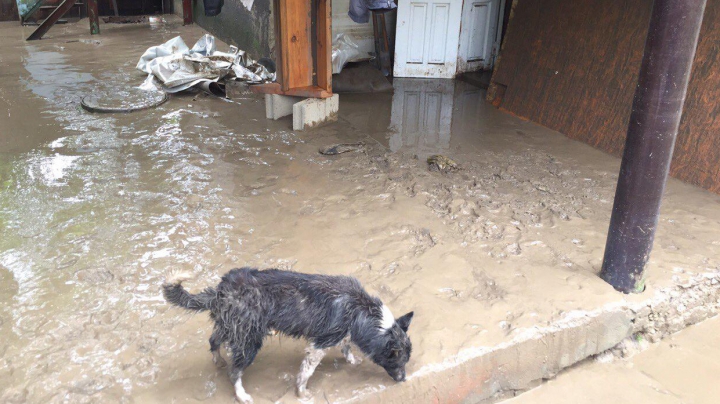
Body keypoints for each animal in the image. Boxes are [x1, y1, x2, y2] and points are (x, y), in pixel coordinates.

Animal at [162, 266, 410, 402]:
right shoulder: (320, 343)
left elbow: (346, 346)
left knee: (213, 340)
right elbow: (306, 372)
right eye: (399, 362)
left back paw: (219, 361)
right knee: (235, 372)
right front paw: (302, 394)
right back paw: (242, 395)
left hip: (230, 327)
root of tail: (221, 289)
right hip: (249, 341)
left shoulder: (341, 335)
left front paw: (352, 360)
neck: (364, 311)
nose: (404, 381)